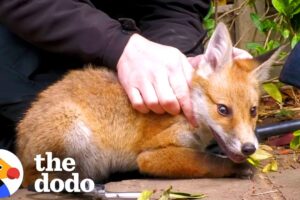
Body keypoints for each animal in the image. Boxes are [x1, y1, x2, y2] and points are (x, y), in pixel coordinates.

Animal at [16, 22, 280, 187]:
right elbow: (208, 161)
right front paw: (238, 168)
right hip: (74, 131)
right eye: (223, 109)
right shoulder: (152, 154)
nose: (249, 148)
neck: (189, 114)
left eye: (253, 111)